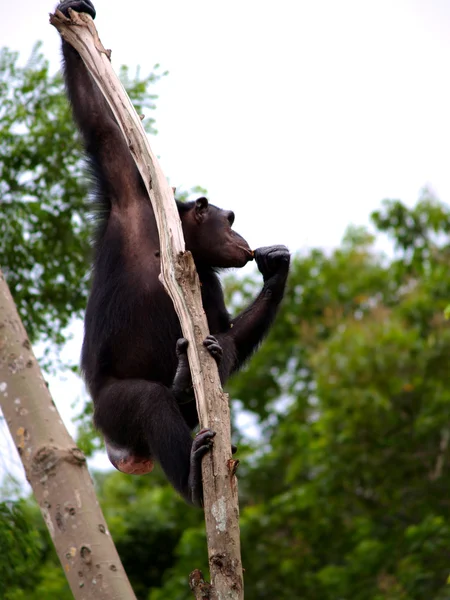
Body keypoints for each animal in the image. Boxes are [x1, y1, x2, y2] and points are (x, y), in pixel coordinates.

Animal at [56, 0, 290, 506]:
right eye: (232, 218)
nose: (242, 237)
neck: (173, 243)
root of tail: (122, 451)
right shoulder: (128, 194)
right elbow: (103, 129)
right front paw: (72, 18)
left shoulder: (209, 280)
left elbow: (224, 330)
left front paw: (276, 269)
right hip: (110, 411)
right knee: (148, 402)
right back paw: (193, 476)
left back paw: (188, 385)